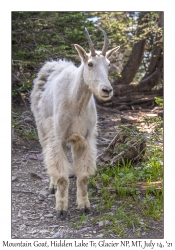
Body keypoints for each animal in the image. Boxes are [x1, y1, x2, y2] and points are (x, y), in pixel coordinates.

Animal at [30, 27, 119, 219]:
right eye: (90, 64)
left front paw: (84, 205)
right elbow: (61, 176)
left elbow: (83, 175)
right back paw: (52, 186)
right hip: (42, 127)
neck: (76, 101)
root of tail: (52, 64)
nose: (107, 90)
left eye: (108, 64)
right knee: (47, 154)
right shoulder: (57, 137)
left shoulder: (85, 138)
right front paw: (61, 208)